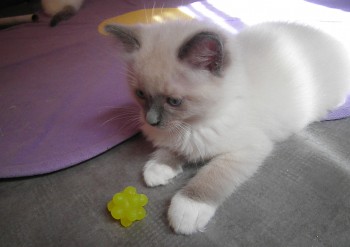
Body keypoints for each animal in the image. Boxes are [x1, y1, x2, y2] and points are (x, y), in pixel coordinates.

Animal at [105, 20, 350, 234]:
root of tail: (330, 38)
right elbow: (173, 149)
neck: (195, 123)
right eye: (140, 94)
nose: (151, 120)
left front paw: (186, 210)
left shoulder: (245, 150)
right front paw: (158, 168)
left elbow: (211, 176)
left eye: (174, 101)